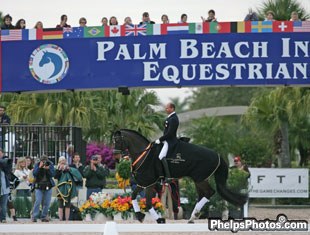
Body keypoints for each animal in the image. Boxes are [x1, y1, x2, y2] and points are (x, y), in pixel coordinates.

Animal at [112, 129, 248, 223]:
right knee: (203, 194)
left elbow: (147, 202)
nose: (115, 156)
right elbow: (135, 197)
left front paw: (154, 218)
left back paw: (193, 216)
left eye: (117, 140)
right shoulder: (145, 183)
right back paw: (193, 217)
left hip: (199, 178)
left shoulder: (149, 182)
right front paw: (143, 216)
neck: (145, 155)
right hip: (200, 179)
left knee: (209, 192)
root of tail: (217, 155)